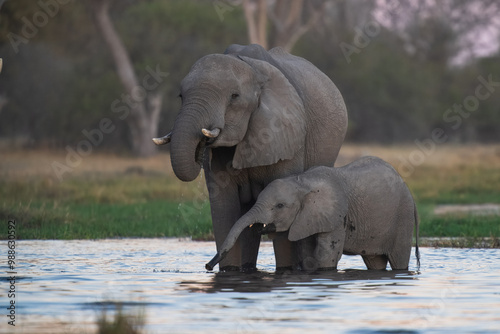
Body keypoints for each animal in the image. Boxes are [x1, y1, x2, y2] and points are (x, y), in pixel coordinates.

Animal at [153, 43, 348, 272]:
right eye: (181, 96)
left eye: (234, 96)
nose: (207, 266)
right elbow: (224, 209)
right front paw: (229, 272)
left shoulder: (288, 135)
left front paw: (286, 271)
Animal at [205, 157, 420, 272]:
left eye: (280, 206)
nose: (208, 266)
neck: (301, 181)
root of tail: (409, 190)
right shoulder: (307, 217)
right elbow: (307, 249)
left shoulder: (336, 216)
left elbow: (327, 253)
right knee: (375, 261)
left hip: (403, 218)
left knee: (399, 259)